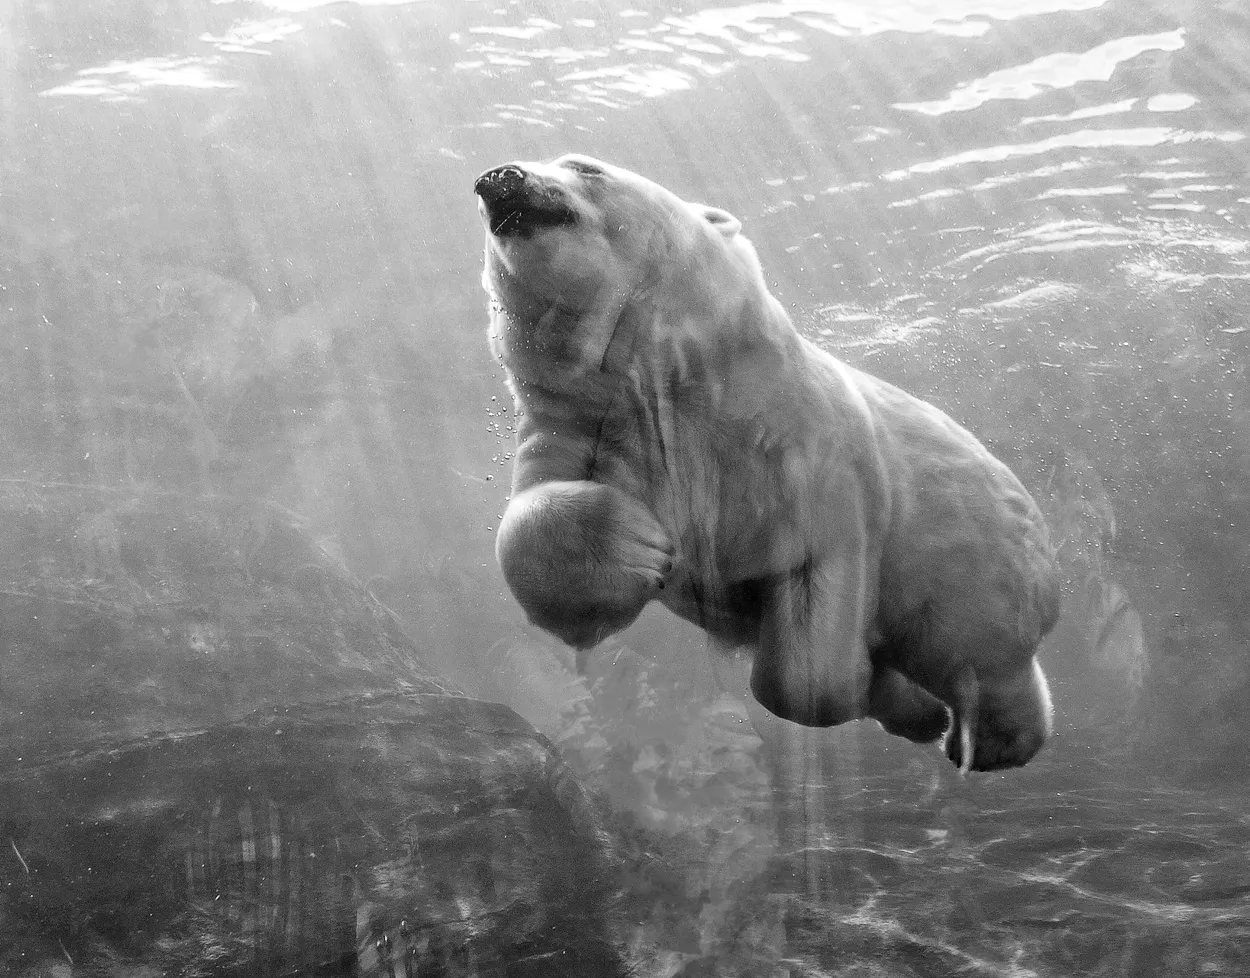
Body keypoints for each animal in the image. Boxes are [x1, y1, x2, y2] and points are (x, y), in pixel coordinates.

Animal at [474, 154, 1060, 773]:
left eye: (586, 167)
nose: (498, 178)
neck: (676, 387)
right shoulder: (591, 431)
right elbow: (543, 532)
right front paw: (636, 544)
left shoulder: (807, 454)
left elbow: (806, 645)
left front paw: (862, 690)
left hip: (978, 568)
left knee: (975, 654)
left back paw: (992, 739)